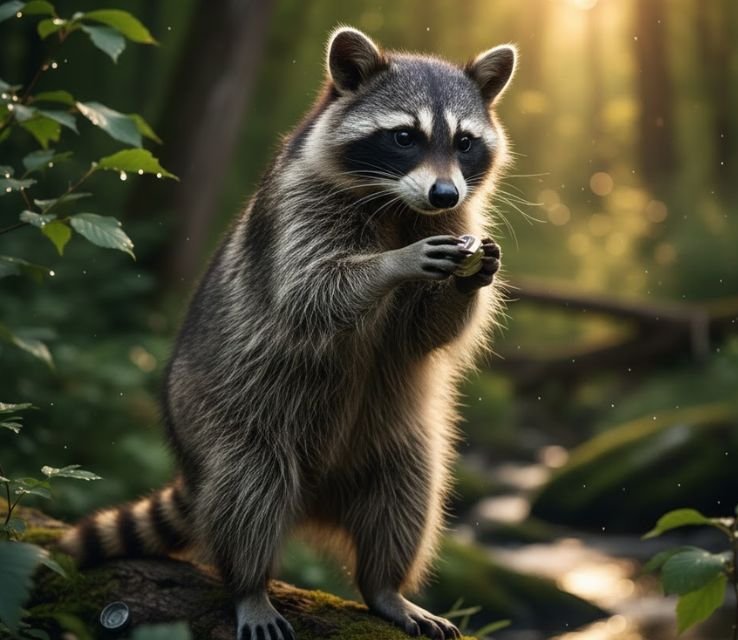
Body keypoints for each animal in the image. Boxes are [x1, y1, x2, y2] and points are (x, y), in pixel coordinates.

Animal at [60, 27, 516, 640]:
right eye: (404, 137)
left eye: (465, 143)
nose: (444, 193)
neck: (399, 203)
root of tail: (318, 498)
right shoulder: (300, 206)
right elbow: (310, 293)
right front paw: (395, 262)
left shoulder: (456, 217)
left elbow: (423, 334)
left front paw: (469, 281)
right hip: (231, 421)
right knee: (249, 493)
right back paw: (250, 585)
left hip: (397, 440)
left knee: (405, 499)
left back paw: (385, 587)